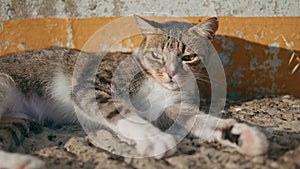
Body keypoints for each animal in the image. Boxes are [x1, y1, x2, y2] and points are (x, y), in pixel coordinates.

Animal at [0, 15, 268, 168]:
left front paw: (242, 135)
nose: (171, 73)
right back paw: (25, 162)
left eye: (188, 57)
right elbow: (119, 110)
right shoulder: (92, 85)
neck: (155, 82)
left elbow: (201, 121)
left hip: (15, 121)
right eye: (157, 55)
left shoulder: (171, 108)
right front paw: (154, 138)